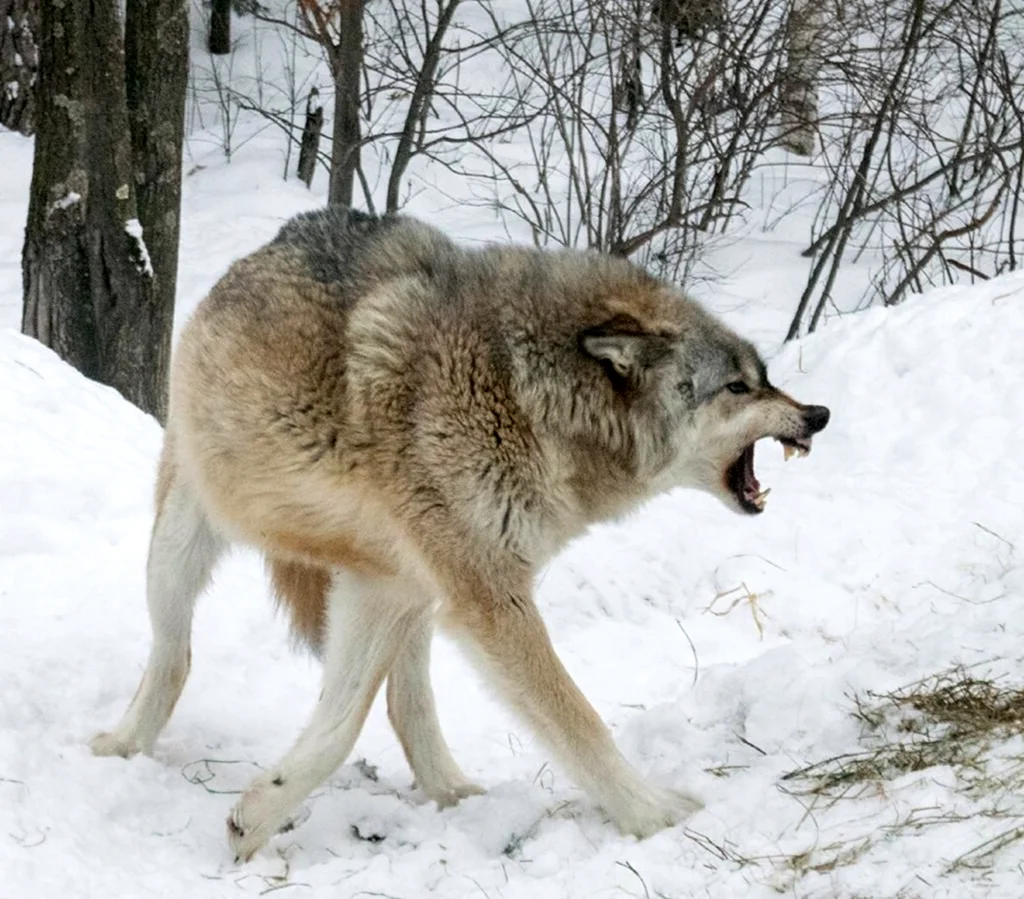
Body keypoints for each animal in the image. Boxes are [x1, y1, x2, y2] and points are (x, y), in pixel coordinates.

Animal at [90, 207, 831, 864]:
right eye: (738, 386)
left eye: (764, 378)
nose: (819, 414)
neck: (531, 395)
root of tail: (270, 242)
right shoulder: (487, 597)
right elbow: (578, 721)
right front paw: (656, 815)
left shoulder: (395, 589)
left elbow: (341, 724)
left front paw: (256, 815)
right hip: (184, 546)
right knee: (175, 654)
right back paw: (121, 745)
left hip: (408, 591)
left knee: (401, 699)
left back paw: (452, 792)